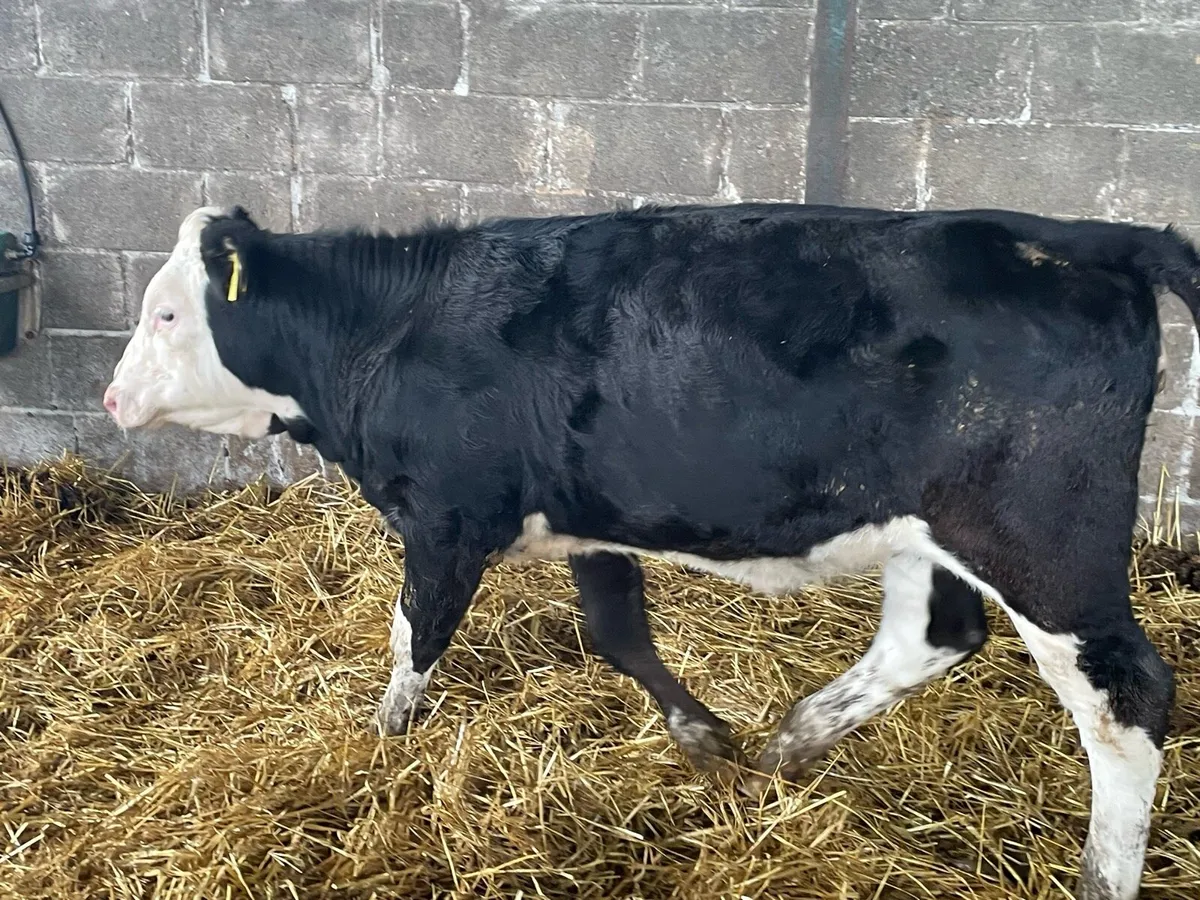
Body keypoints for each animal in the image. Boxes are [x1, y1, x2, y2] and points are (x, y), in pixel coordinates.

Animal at [103, 201, 1200, 900]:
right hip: (929, 527)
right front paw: (704, 736)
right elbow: (617, 634)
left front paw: (378, 741)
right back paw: (797, 738)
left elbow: (415, 636)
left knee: (1127, 695)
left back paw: (1102, 876)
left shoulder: (449, 518)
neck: (392, 331)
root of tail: (1095, 240)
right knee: (934, 633)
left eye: (167, 312)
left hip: (1043, 539)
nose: (111, 398)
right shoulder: (590, 518)